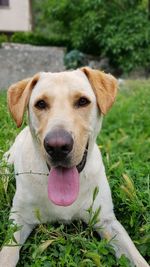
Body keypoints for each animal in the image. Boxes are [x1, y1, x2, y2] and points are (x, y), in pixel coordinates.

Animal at [0, 67, 149, 267]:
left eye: (82, 101)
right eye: (40, 104)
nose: (57, 146)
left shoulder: (106, 220)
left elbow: (136, 257)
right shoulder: (19, 220)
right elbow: (7, 254)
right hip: (6, 162)